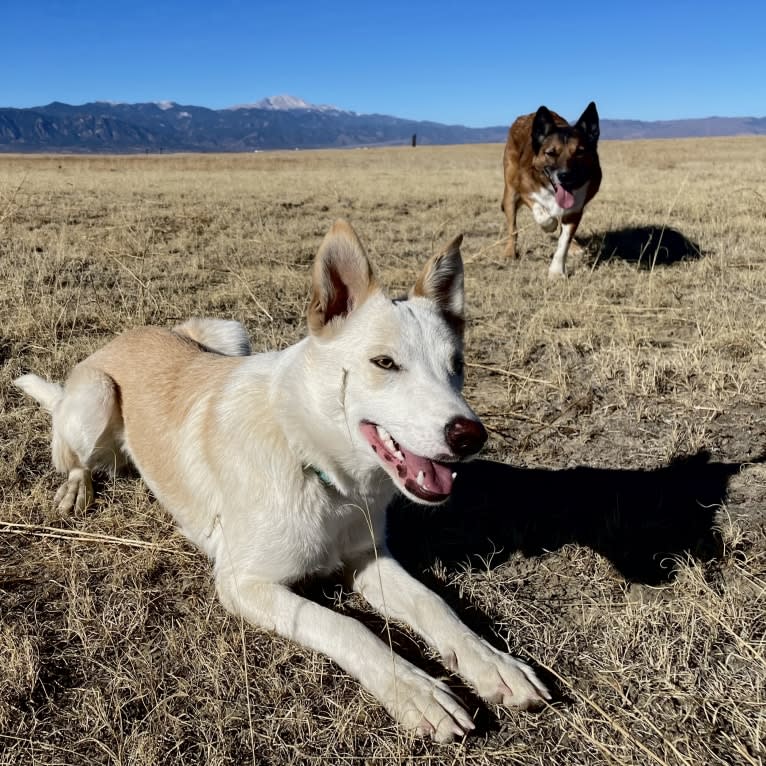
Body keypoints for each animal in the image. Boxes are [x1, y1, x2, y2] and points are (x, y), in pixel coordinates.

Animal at [15, 220, 548, 744]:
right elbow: (349, 628)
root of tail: (124, 336)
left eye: (457, 366)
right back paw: (77, 488)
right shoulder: (243, 584)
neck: (317, 467)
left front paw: (494, 664)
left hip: (230, 333)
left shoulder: (368, 556)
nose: (470, 436)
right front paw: (416, 690)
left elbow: (434, 605)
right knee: (76, 457)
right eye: (384, 363)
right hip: (97, 398)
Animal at [504, 103, 608, 280]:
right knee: (512, 227)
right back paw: (510, 253)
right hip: (510, 191)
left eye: (580, 151)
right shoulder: (524, 189)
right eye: (551, 153)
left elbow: (564, 240)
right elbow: (542, 213)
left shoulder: (576, 209)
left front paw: (556, 271)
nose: (565, 175)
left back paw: (574, 247)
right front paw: (549, 224)